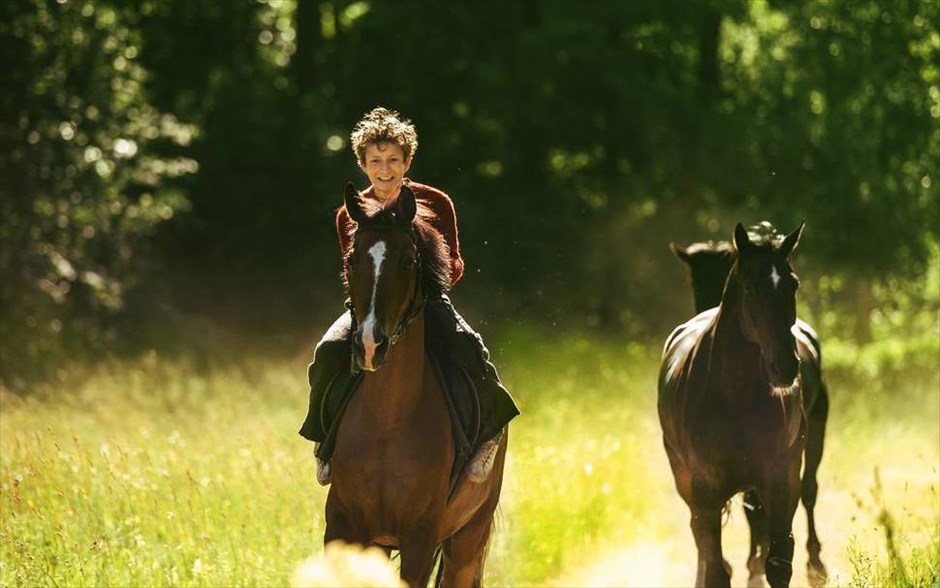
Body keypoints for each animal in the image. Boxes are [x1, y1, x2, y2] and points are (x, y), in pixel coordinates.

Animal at [326, 184, 510, 588]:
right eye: (352, 259)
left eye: (409, 261)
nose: (369, 344)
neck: (387, 424)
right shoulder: (343, 527)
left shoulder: (420, 540)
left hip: (468, 538)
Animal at [660, 223, 824, 584]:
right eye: (750, 286)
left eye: (793, 284)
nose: (785, 366)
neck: (732, 397)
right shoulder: (704, 491)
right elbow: (714, 566)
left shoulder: (780, 480)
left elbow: (778, 562)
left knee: (809, 490)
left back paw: (814, 564)